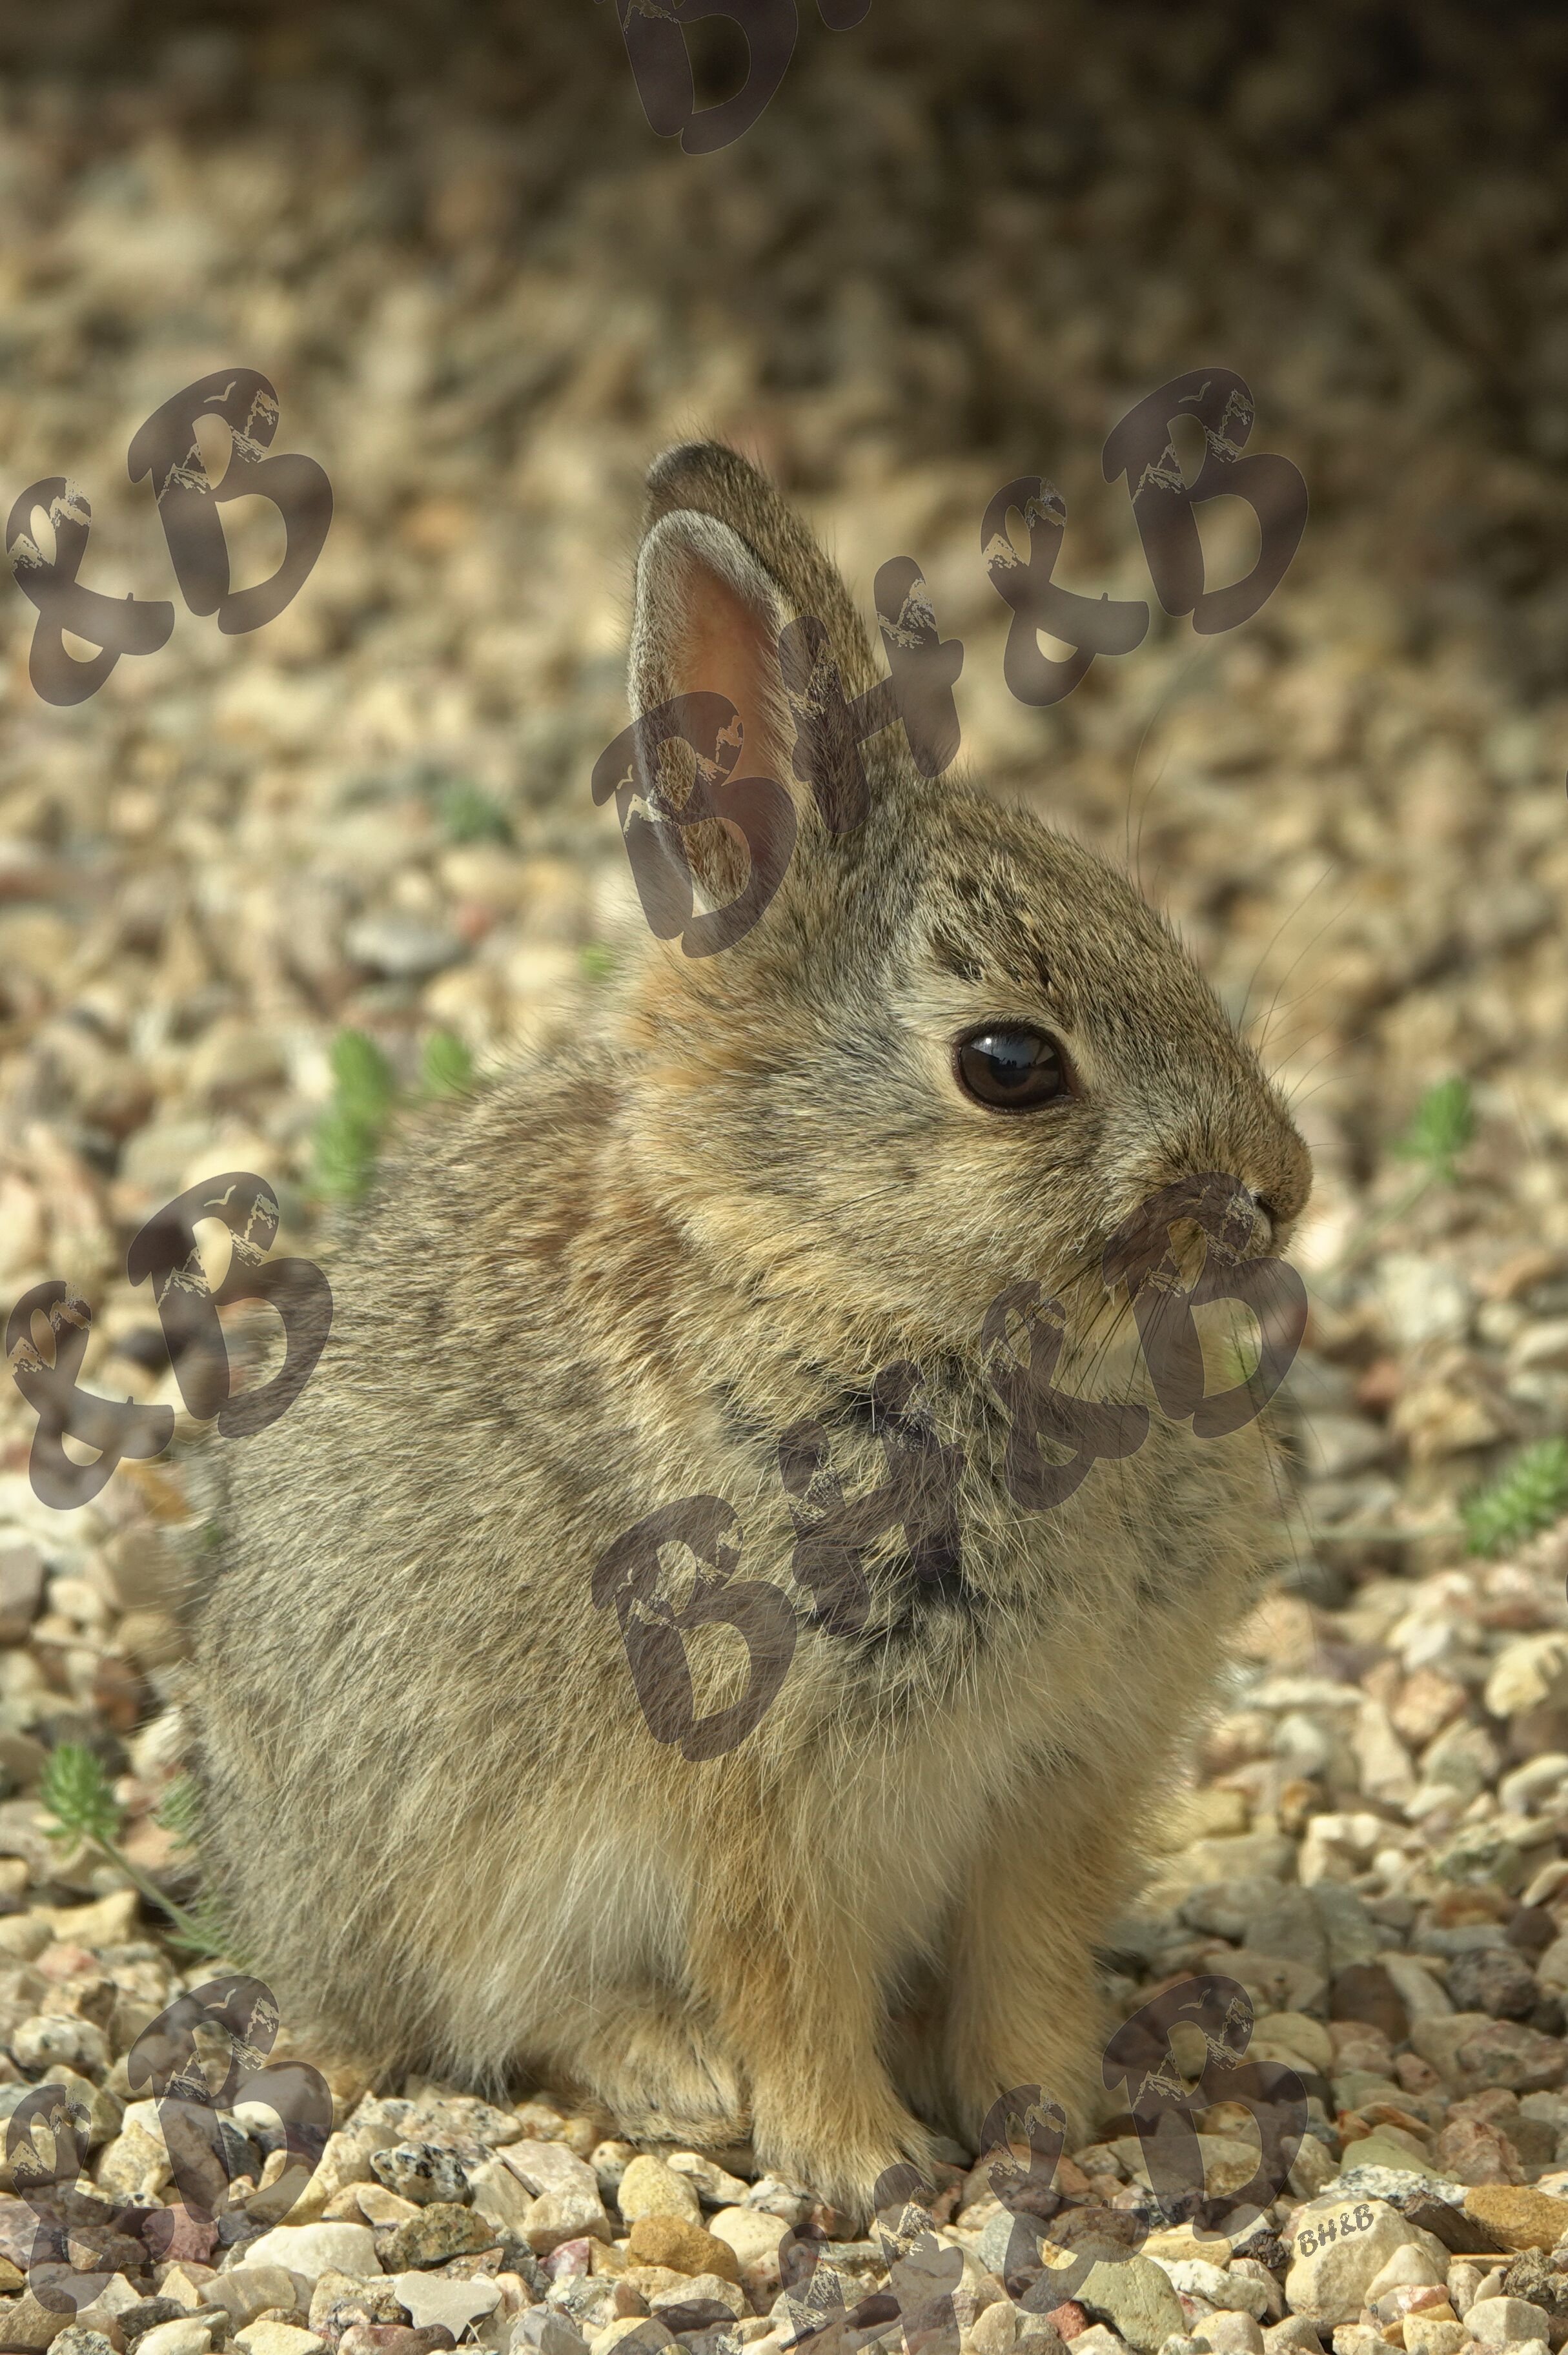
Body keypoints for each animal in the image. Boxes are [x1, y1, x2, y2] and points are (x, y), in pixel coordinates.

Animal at [185, 439, 1312, 2222]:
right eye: (1010, 1064)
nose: (1282, 1189)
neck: (865, 1291)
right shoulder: (768, 1799)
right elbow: (791, 1983)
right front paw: (863, 2166)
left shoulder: (1058, 1775)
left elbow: (1025, 1961)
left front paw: (1049, 2117)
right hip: (463, 1862)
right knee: (505, 2002)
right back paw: (679, 2078)